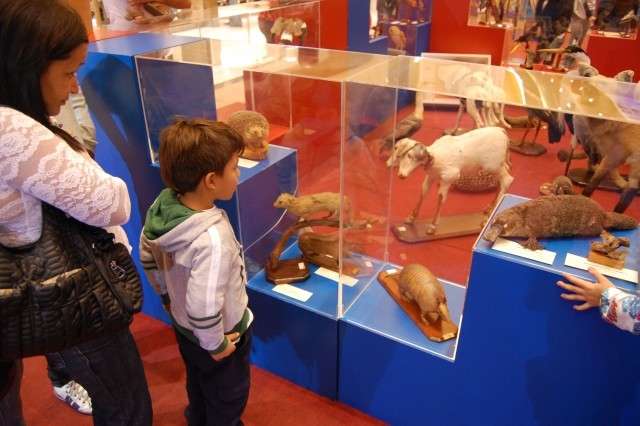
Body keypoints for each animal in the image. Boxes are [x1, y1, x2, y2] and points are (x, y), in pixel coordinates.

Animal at [384, 126, 516, 233]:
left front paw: (432, 226)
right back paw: (489, 209)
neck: (435, 158)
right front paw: (410, 218)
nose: (401, 175)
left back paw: (486, 220)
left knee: (507, 180)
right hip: (498, 167)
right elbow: (423, 192)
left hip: (493, 166)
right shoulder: (431, 176)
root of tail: (502, 131)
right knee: (501, 182)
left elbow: (441, 198)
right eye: (399, 156)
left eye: (410, 156)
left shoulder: (449, 178)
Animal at [484, 196, 636, 251]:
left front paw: (531, 244)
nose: (486, 237)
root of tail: (603, 215)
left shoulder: (533, 225)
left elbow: (533, 234)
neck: (522, 216)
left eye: (503, 225)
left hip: (593, 226)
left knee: (603, 230)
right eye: (493, 221)